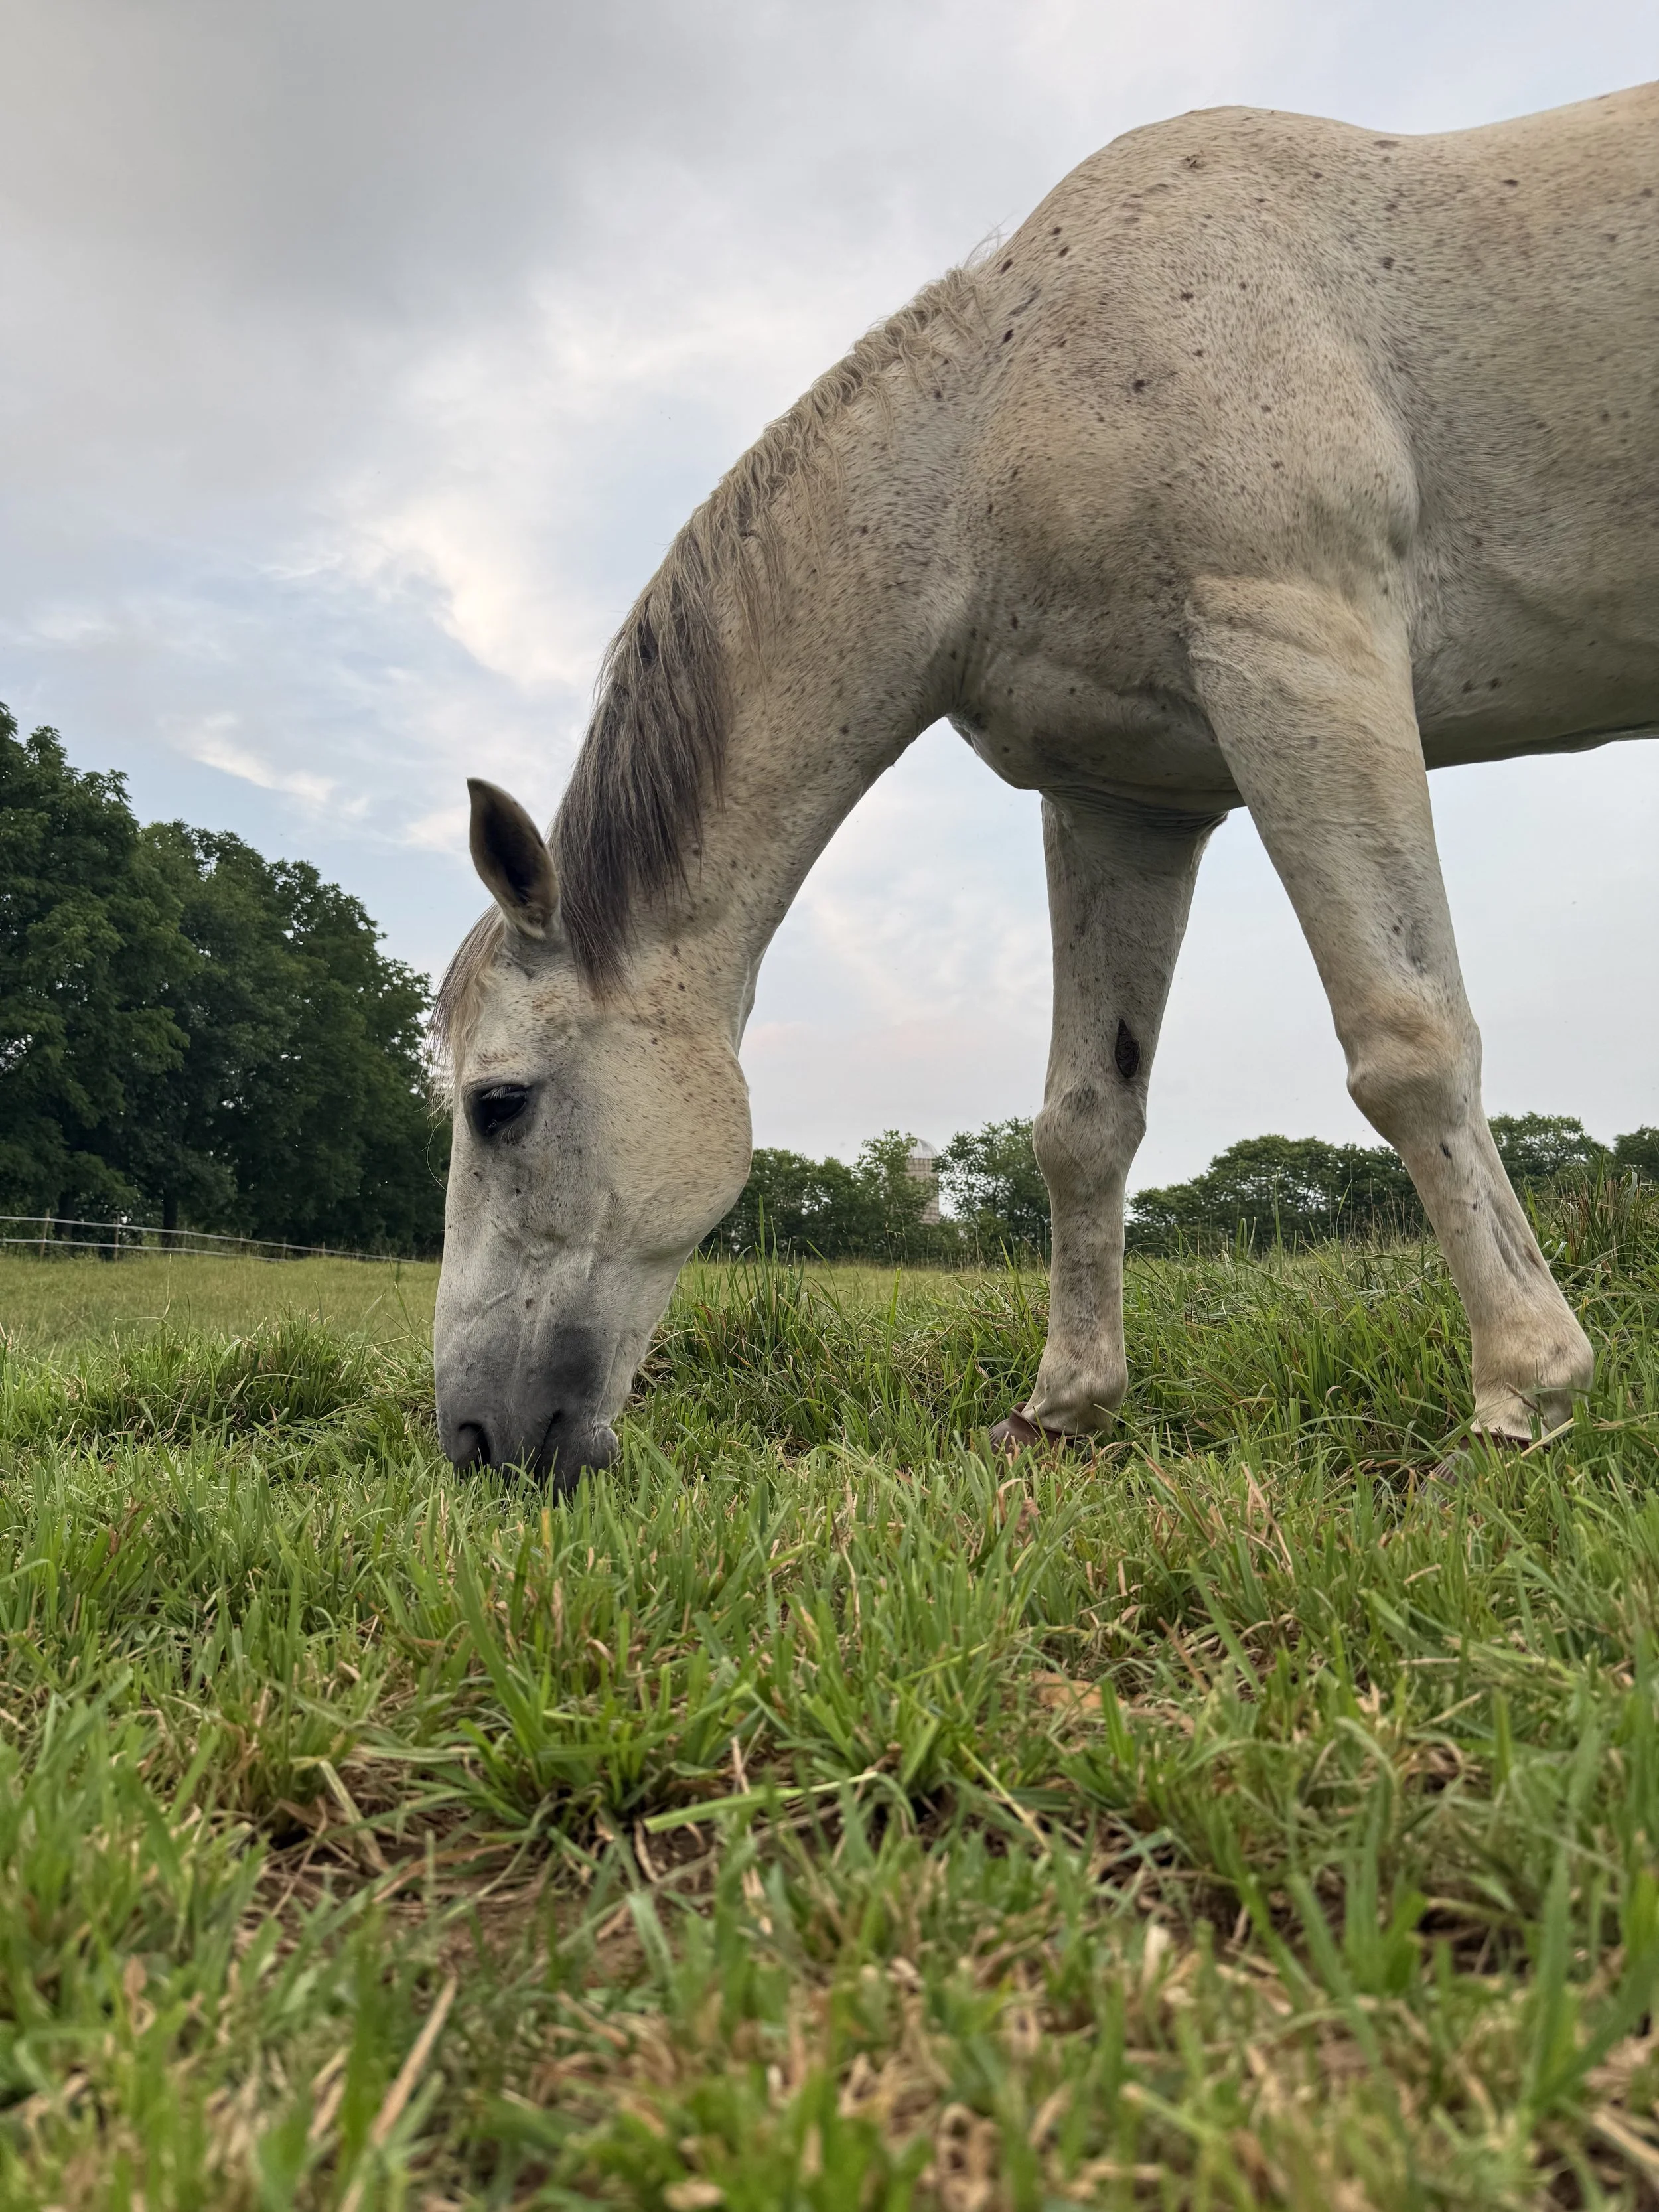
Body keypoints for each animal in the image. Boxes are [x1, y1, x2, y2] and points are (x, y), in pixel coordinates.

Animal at [430, 81, 1657, 1485]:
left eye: (500, 1105)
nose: (473, 1435)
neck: (1002, 412)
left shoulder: (1303, 664)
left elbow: (1410, 1046)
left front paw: (1525, 1397)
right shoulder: (1125, 802)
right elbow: (1084, 1117)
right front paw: (1064, 1407)